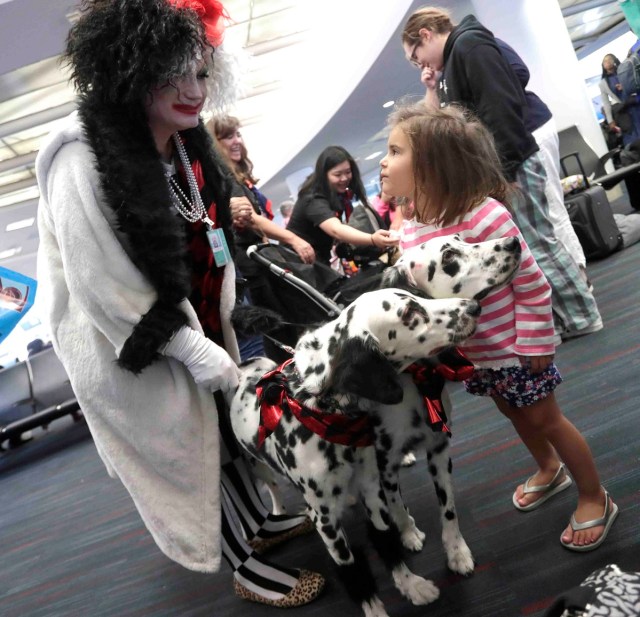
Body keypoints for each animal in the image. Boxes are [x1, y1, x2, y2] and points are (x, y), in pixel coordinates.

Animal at [231, 288, 480, 616]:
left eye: (418, 296)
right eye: (409, 313)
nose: (474, 306)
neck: (326, 415)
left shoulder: (385, 480)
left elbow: (394, 536)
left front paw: (416, 582)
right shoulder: (327, 520)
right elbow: (354, 570)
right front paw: (375, 608)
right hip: (256, 466)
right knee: (272, 487)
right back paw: (279, 512)